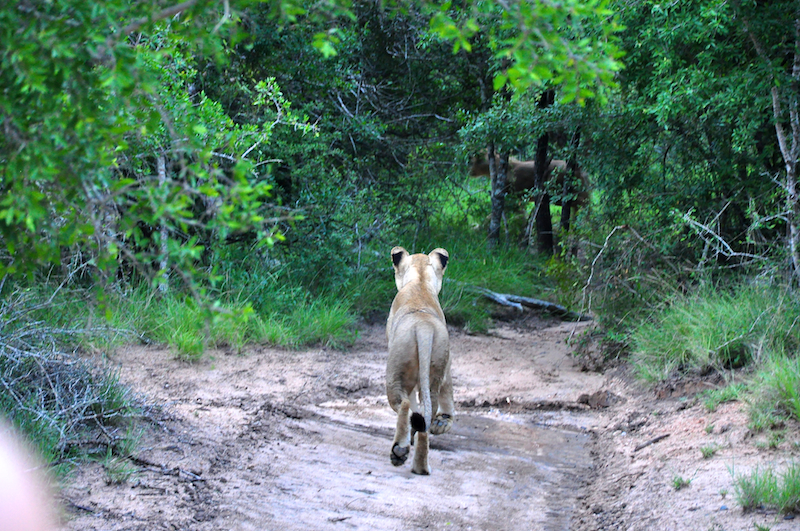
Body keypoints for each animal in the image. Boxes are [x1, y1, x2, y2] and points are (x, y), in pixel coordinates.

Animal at [385, 246, 454, 475]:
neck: (420, 283)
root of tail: (423, 327)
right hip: (435, 365)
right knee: (426, 413)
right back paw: (420, 466)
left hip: (394, 372)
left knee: (406, 405)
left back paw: (400, 450)